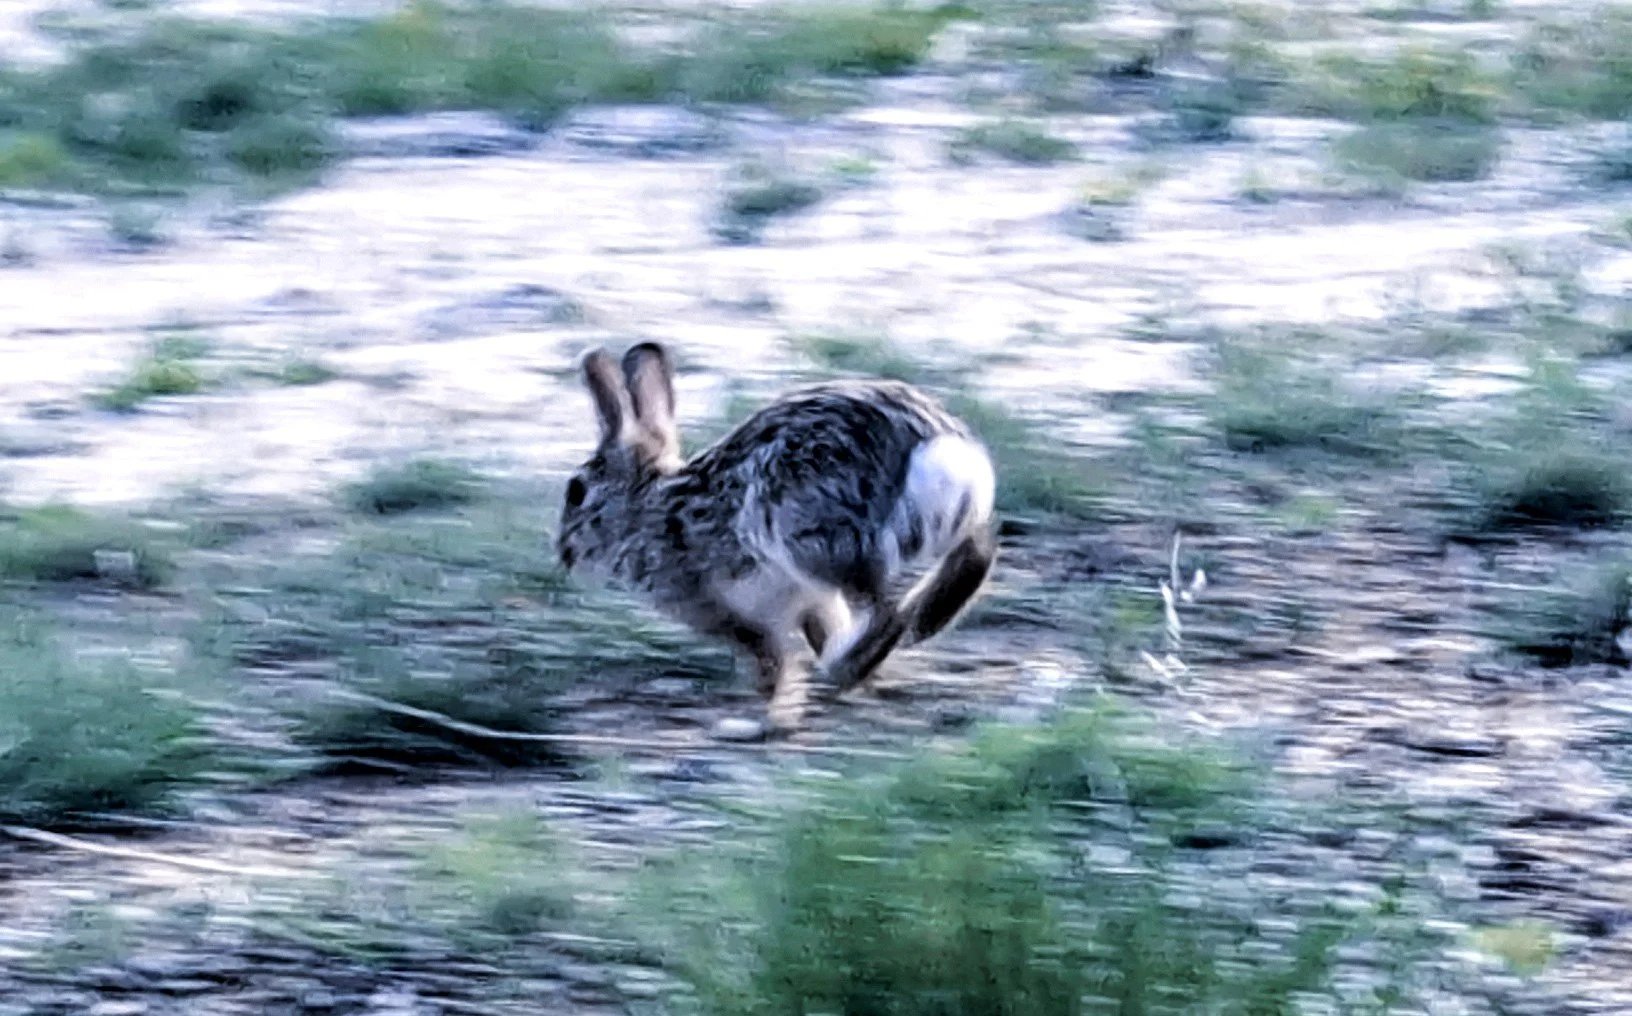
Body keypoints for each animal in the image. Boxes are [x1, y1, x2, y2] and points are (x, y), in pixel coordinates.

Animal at [556, 342, 998, 732]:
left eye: (576, 492)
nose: (563, 554)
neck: (648, 510)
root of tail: (932, 446)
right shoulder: (809, 602)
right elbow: (817, 632)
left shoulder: (724, 613)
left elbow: (773, 666)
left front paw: (766, 721)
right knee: (971, 554)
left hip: (808, 538)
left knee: (888, 612)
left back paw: (844, 667)